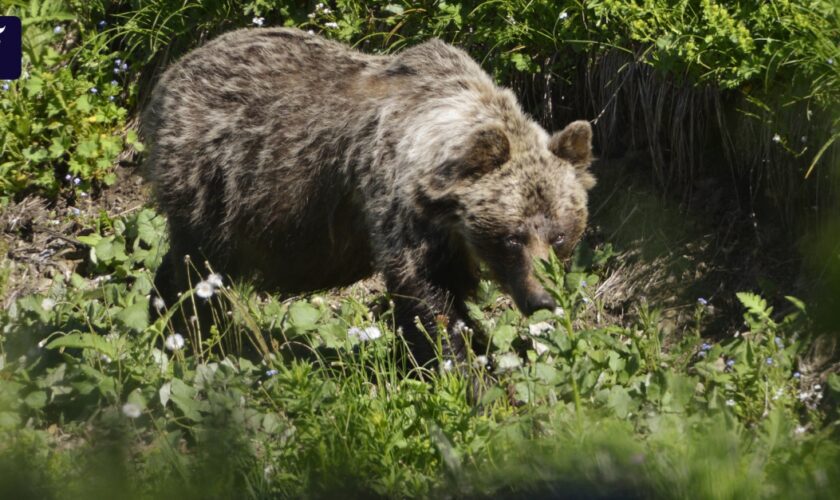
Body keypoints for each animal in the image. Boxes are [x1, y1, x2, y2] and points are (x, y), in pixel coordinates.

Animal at [141, 26, 592, 364]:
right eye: (512, 237)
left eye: (560, 235)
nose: (543, 298)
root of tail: (171, 73)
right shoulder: (397, 205)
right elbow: (428, 299)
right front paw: (463, 369)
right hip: (215, 182)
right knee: (196, 269)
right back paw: (187, 333)